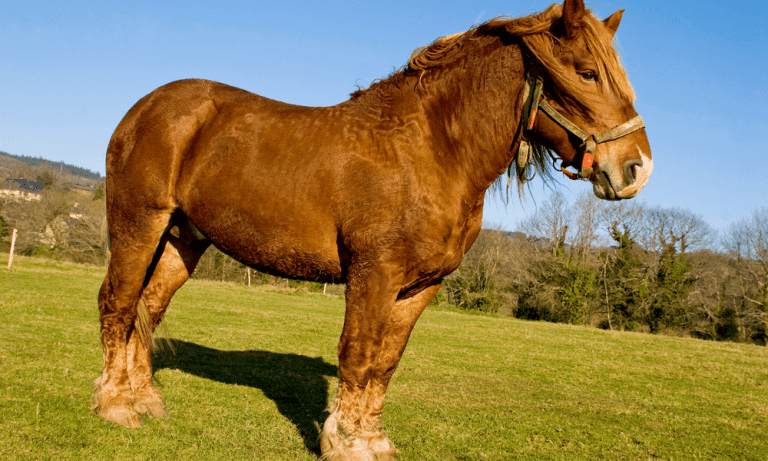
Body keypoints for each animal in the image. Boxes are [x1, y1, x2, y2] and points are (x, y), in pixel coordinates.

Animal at [92, 0, 652, 459]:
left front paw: (373, 439)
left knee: (148, 309)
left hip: (183, 239)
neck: (431, 151)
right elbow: (358, 353)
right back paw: (115, 405)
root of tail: (146, 106)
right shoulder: (374, 273)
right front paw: (344, 442)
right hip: (139, 223)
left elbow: (385, 362)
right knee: (118, 303)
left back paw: (146, 400)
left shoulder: (421, 286)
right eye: (587, 73)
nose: (636, 169)